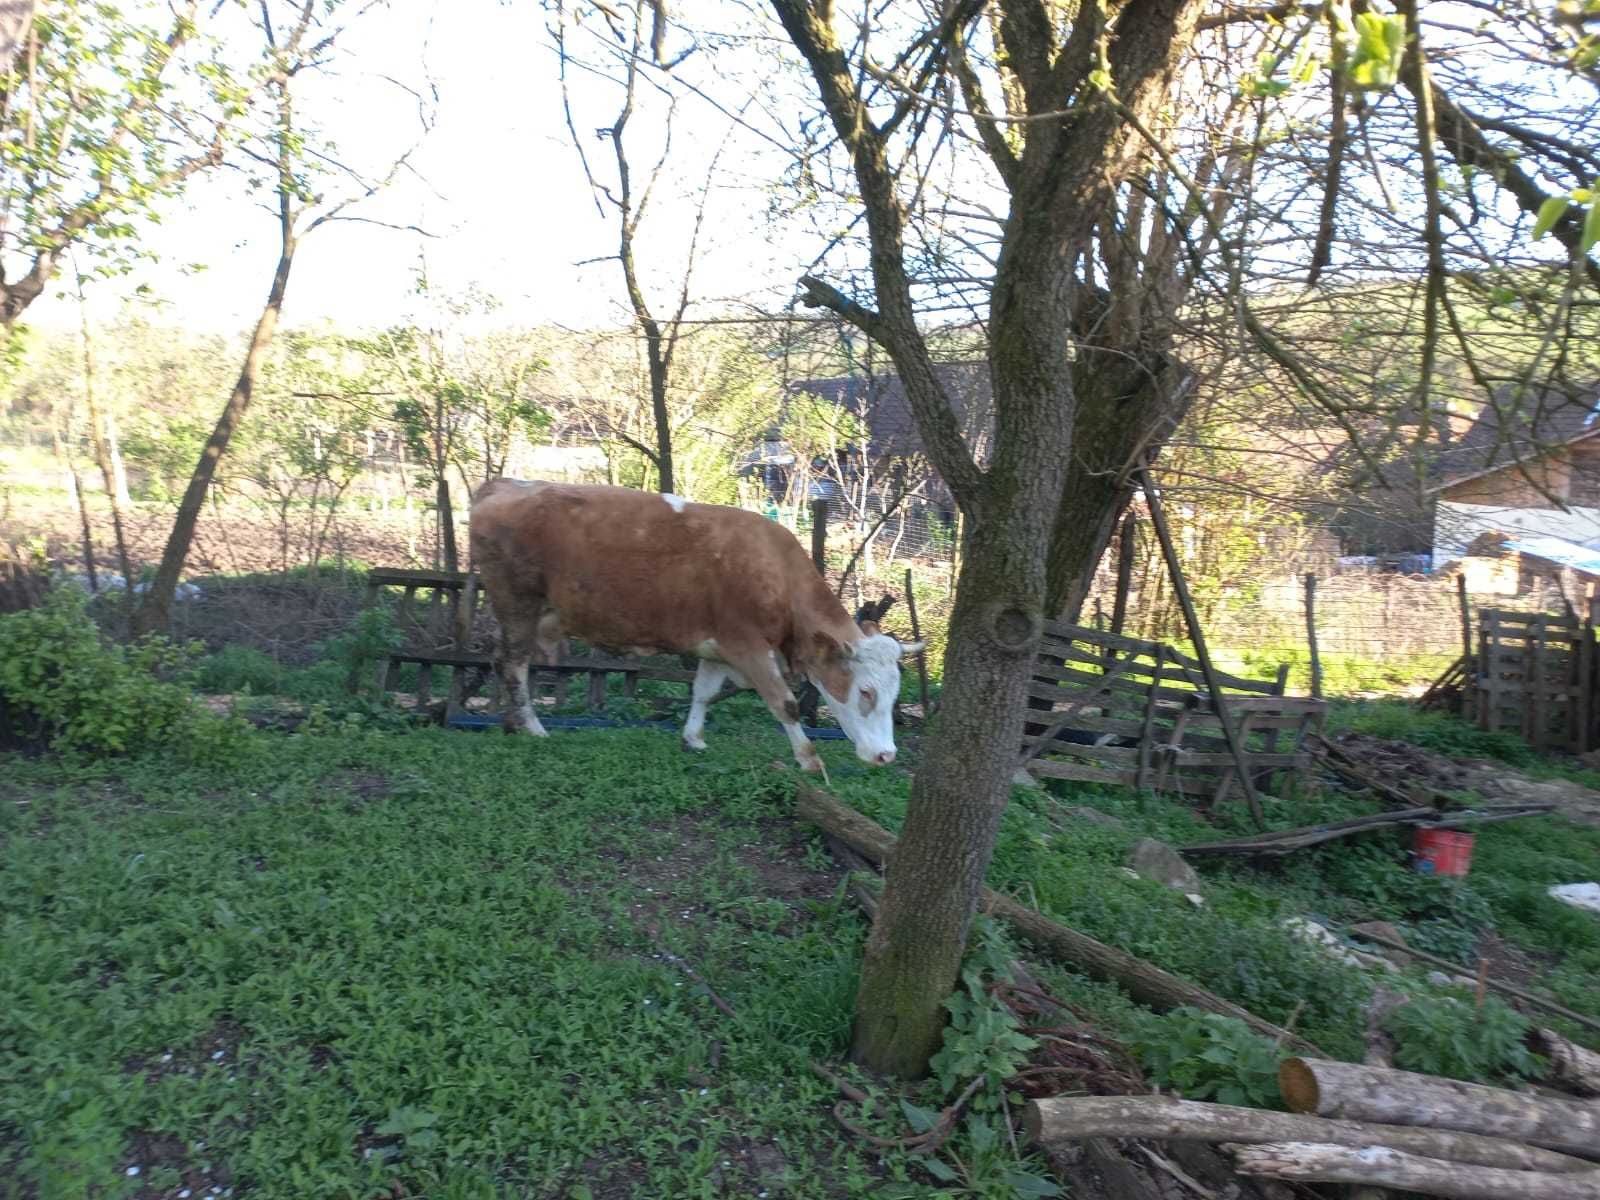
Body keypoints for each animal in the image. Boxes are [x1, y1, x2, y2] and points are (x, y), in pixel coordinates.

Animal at [467, 476, 921, 771]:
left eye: (895, 694)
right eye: (865, 691)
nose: (887, 756)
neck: (776, 571)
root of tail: (506, 485)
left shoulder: (718, 647)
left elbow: (703, 692)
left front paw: (693, 738)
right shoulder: (748, 646)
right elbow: (785, 703)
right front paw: (809, 760)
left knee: (502, 662)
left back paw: (510, 722)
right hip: (517, 603)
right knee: (514, 664)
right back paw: (532, 726)